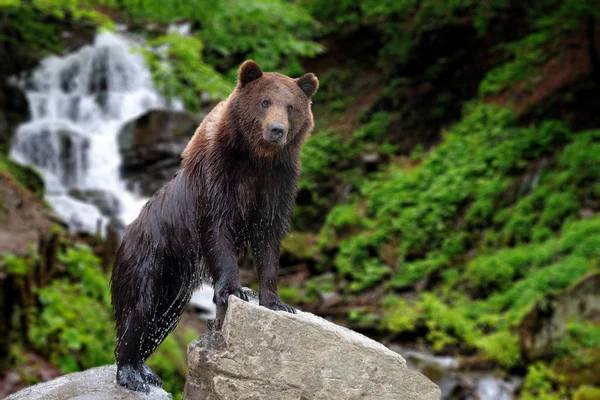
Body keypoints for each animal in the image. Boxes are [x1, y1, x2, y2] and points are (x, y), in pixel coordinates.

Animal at [111, 61, 318, 392]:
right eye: (265, 102)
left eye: (291, 106)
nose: (277, 130)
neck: (256, 158)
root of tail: (126, 234)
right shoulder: (218, 178)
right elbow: (217, 230)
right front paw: (233, 290)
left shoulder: (277, 184)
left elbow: (269, 240)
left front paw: (277, 302)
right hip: (150, 257)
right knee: (140, 308)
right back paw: (131, 373)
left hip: (175, 283)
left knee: (162, 319)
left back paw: (146, 371)